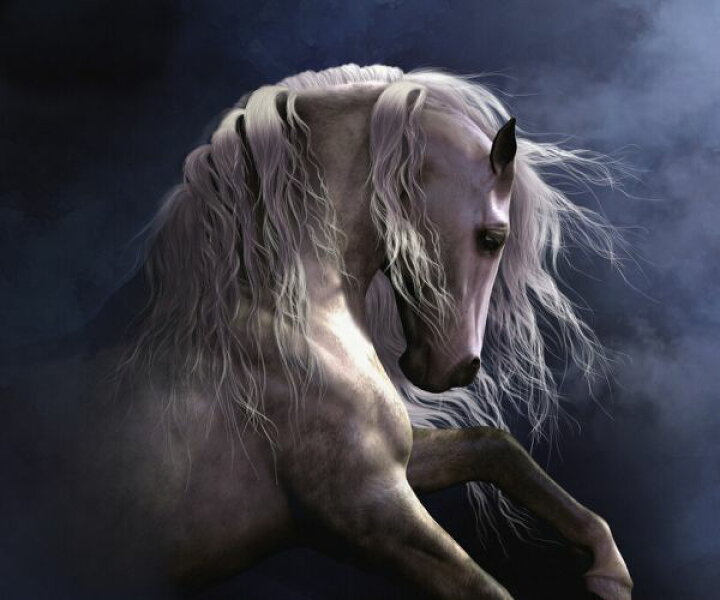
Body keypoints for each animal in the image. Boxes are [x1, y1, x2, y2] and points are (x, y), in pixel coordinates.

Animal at [3, 63, 633, 599]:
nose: (458, 368)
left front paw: (608, 570)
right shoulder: (364, 509)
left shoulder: (394, 466)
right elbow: (485, 586)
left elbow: (495, 446)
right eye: (492, 237)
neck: (272, 321)